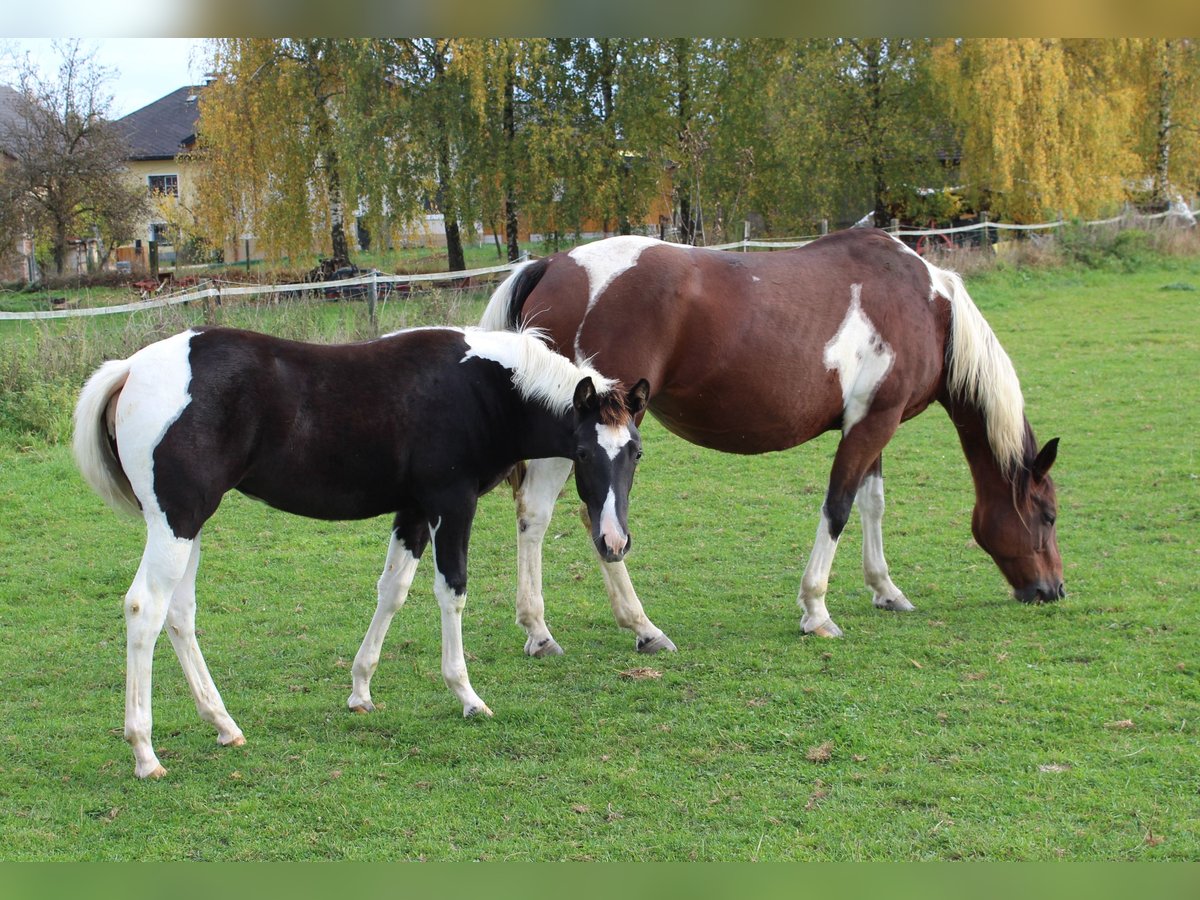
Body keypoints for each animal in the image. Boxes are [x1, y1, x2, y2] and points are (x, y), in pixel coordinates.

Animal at [73, 324, 649, 778]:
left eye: (637, 452)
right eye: (582, 452)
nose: (613, 541)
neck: (482, 387)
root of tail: (130, 369)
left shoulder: (413, 511)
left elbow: (392, 590)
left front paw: (361, 691)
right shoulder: (450, 504)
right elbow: (452, 591)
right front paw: (466, 696)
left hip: (188, 526)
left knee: (179, 615)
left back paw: (224, 726)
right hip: (176, 522)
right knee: (145, 609)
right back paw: (145, 753)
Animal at [479, 227, 1062, 656]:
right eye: (1049, 515)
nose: (1052, 590)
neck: (926, 307)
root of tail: (554, 264)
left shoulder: (874, 422)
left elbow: (872, 503)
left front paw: (885, 590)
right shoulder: (873, 424)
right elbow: (838, 508)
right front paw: (817, 610)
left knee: (536, 516)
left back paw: (542, 632)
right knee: (573, 513)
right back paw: (637, 627)